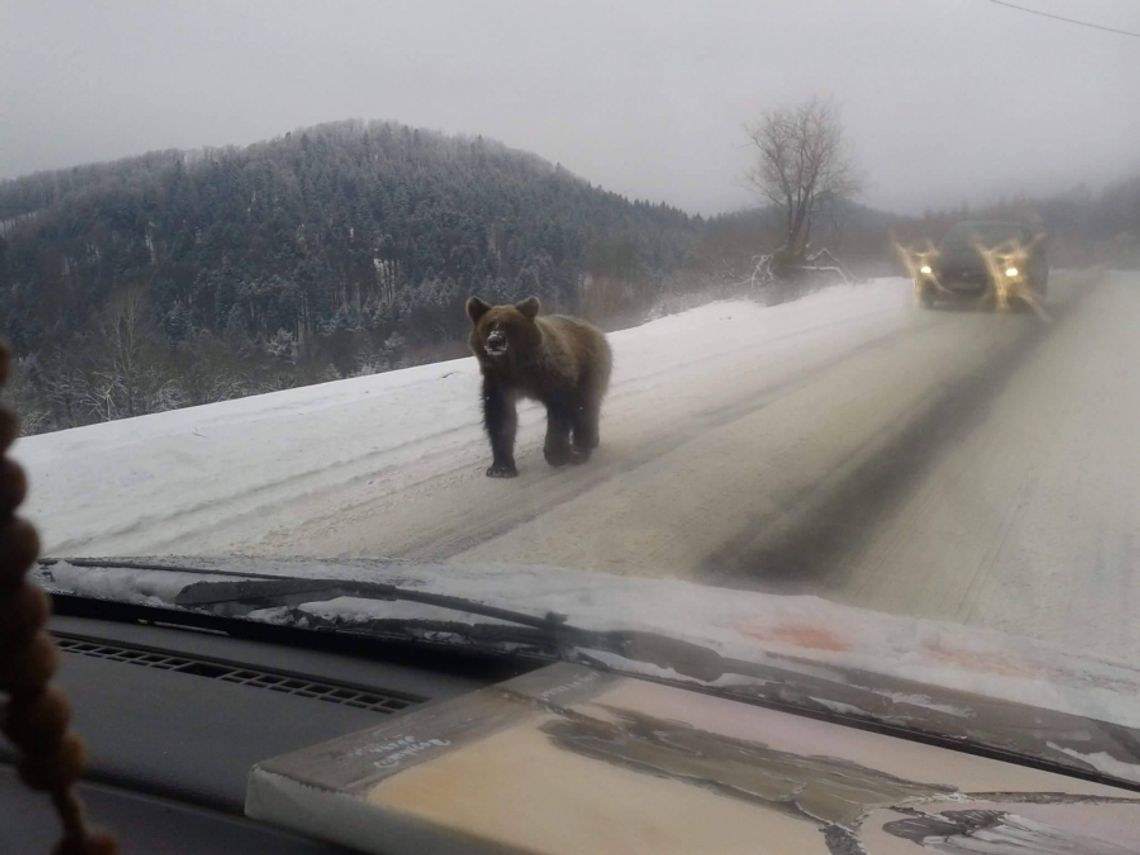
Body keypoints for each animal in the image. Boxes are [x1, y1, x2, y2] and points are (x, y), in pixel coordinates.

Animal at [465, 298, 615, 478]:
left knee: (585, 406)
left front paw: (556, 454)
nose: (495, 341)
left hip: (590, 368)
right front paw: (501, 468)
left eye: (509, 325)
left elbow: (560, 413)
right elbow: (500, 419)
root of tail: (595, 329)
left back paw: (582, 447)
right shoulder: (499, 383)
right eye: (488, 324)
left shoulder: (553, 377)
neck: (516, 368)